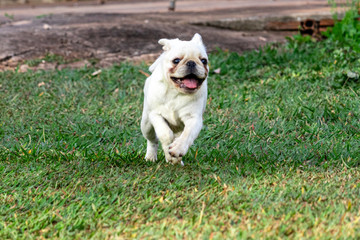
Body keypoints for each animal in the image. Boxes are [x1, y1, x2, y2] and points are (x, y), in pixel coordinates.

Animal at [141, 33, 208, 165]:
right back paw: (151, 156)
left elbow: (187, 135)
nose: (191, 63)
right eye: (176, 61)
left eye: (204, 61)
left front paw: (177, 149)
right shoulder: (155, 115)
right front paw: (168, 151)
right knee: (152, 140)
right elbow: (165, 134)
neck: (175, 92)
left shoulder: (193, 119)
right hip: (146, 124)